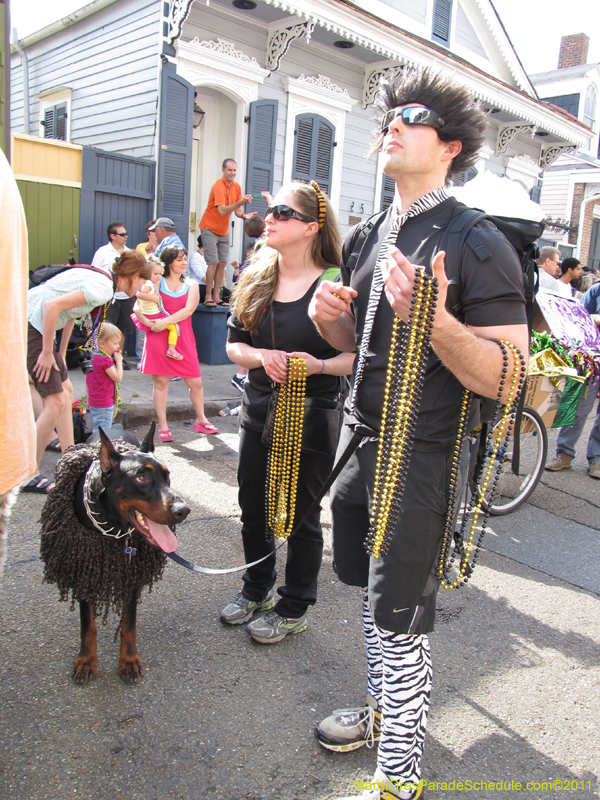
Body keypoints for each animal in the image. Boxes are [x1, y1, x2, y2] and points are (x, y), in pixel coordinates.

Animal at [39, 422, 189, 684]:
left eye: (167, 475)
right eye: (141, 477)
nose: (184, 510)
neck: (112, 522)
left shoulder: (129, 571)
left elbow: (129, 623)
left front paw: (128, 661)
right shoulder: (85, 567)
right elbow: (87, 624)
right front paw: (86, 660)